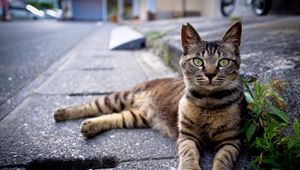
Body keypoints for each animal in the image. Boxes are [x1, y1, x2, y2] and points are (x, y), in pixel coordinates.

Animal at [54, 21, 244, 169]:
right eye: (198, 61)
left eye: (223, 62)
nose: (210, 74)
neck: (209, 101)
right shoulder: (186, 137)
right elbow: (189, 155)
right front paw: (190, 167)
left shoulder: (231, 141)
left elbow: (223, 160)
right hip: (119, 98)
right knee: (91, 105)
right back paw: (61, 113)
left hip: (135, 117)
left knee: (113, 116)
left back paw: (90, 125)